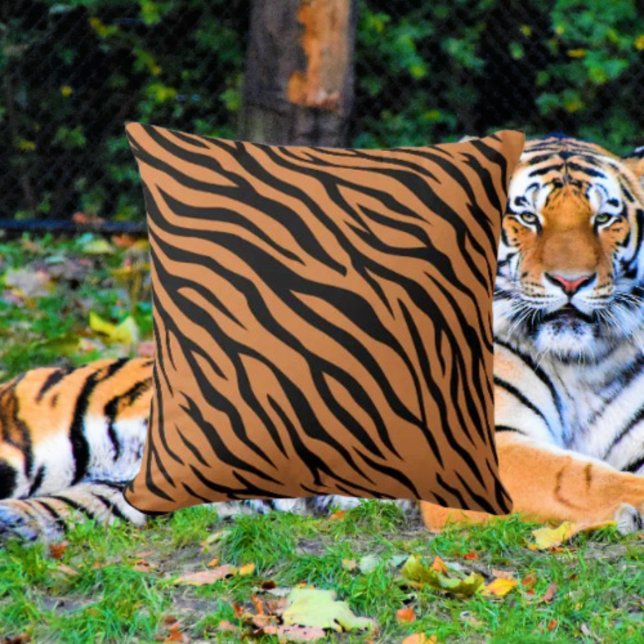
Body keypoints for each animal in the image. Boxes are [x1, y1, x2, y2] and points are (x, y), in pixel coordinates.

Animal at [1, 135, 643, 542]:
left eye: (604, 219)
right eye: (526, 217)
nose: (571, 282)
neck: (582, 362)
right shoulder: (493, 451)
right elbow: (579, 479)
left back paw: (19, 528)